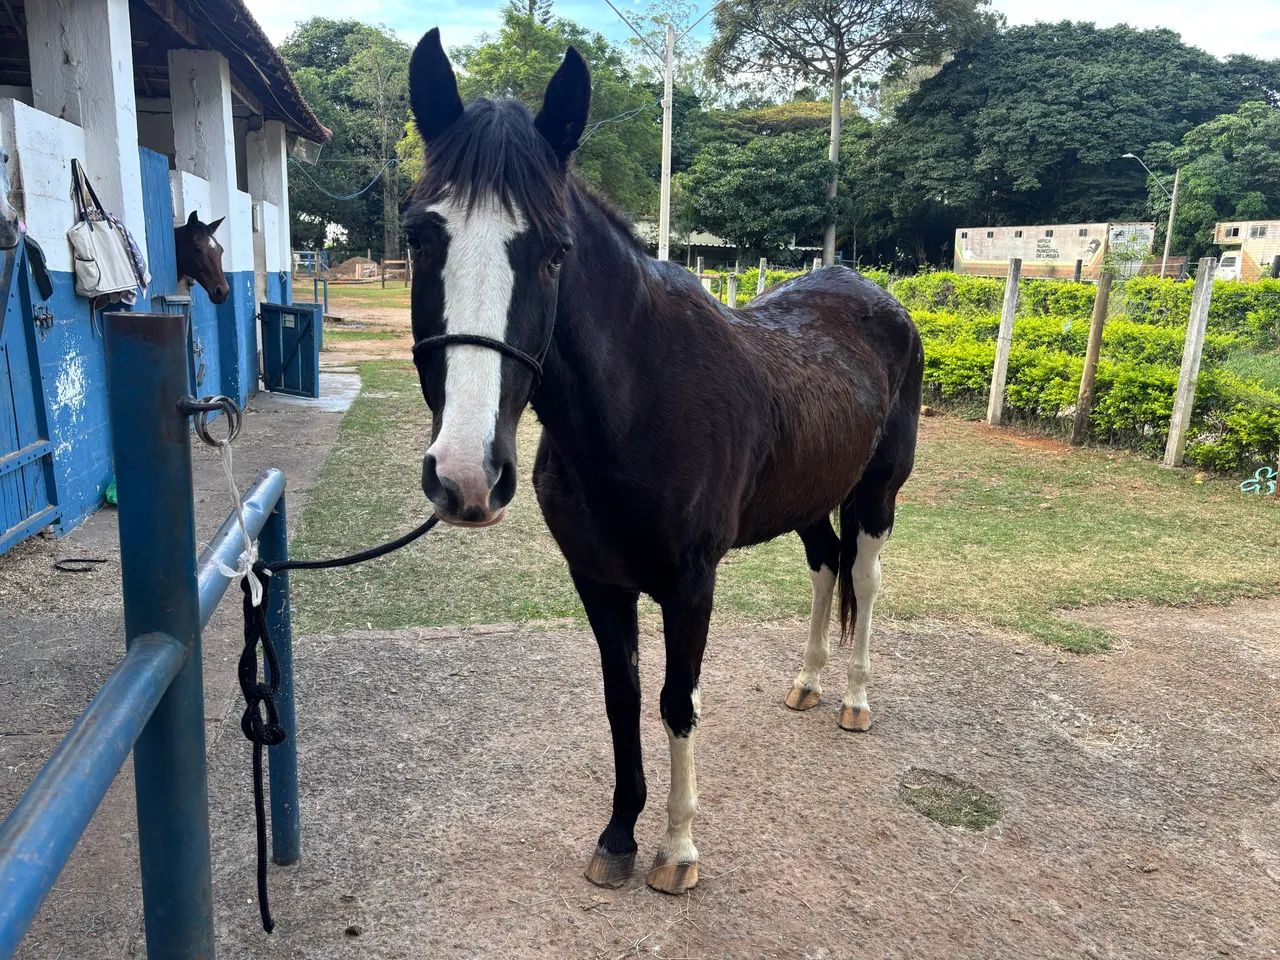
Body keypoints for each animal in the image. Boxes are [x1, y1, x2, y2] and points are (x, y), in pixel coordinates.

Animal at [404, 29, 923, 896]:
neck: (637, 408)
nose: (467, 475)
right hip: (808, 498)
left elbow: (679, 701)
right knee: (824, 567)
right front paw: (619, 834)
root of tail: (874, 296)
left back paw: (853, 697)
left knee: (866, 577)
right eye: (419, 236)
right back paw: (808, 683)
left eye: (554, 253)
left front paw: (678, 849)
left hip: (877, 496)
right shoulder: (598, 580)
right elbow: (623, 700)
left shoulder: (690, 582)